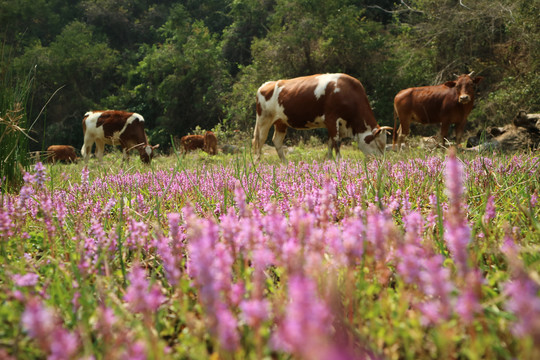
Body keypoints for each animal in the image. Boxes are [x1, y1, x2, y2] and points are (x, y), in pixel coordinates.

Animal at [251, 73, 394, 160]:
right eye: (378, 144)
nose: (380, 162)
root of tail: (266, 84)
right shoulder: (331, 119)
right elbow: (336, 143)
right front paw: (339, 162)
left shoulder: (335, 124)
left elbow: (330, 144)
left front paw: (329, 161)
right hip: (264, 119)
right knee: (260, 141)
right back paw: (258, 163)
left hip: (281, 122)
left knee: (276, 141)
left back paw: (285, 164)